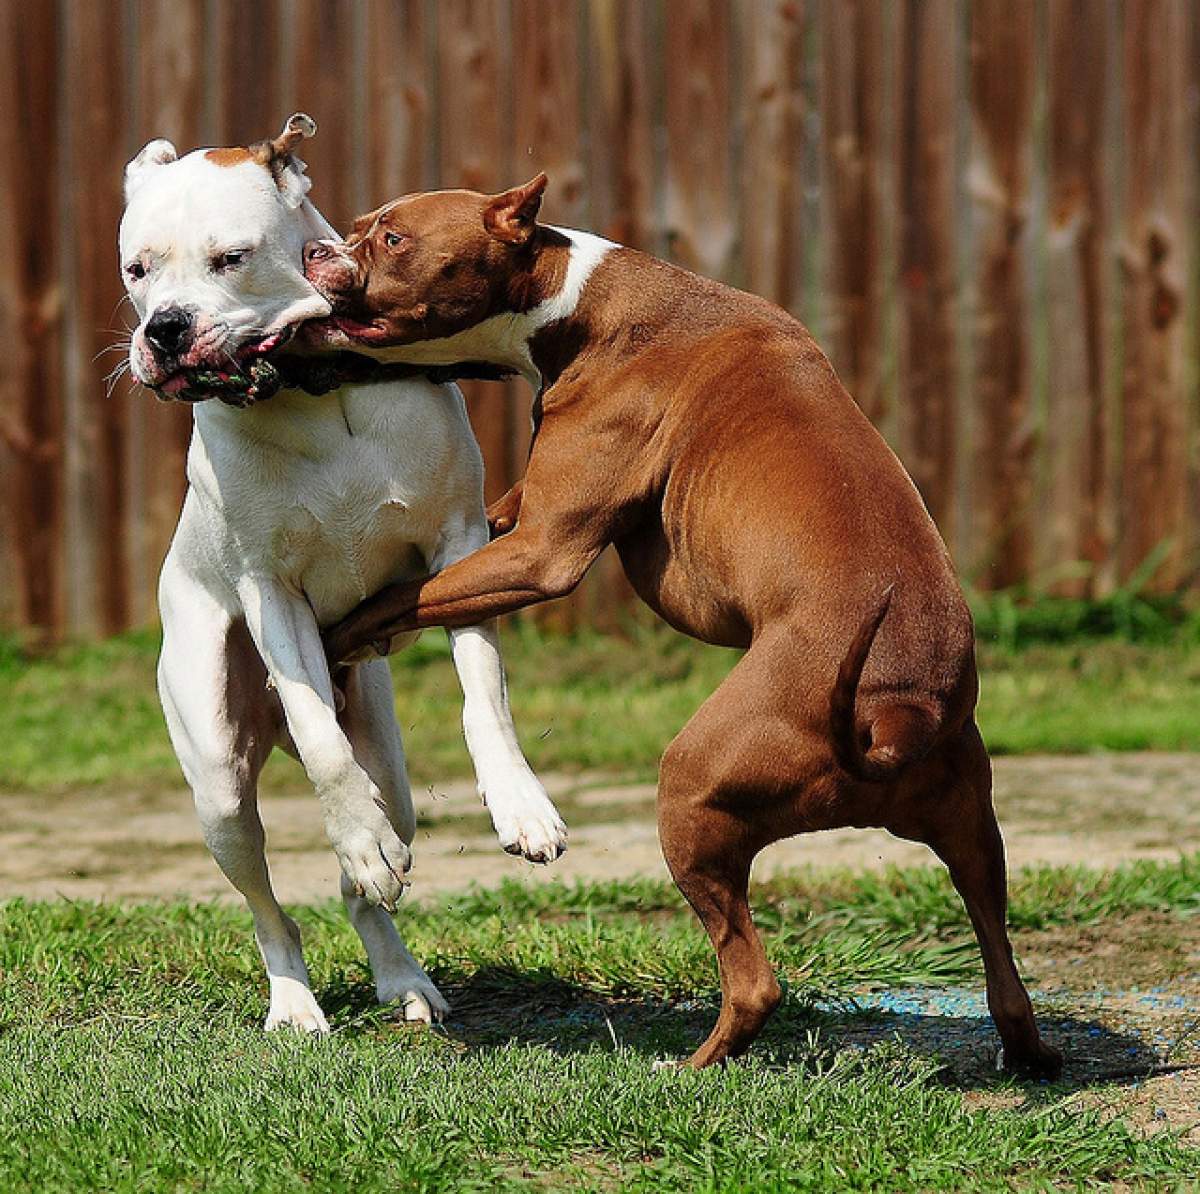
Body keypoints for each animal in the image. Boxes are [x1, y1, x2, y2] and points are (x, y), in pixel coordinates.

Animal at [118, 117, 566, 1036]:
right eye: (136, 270)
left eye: (231, 258)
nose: (166, 329)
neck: (315, 388)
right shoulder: (271, 592)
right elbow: (320, 739)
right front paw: (354, 830)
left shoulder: (460, 547)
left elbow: (485, 695)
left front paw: (520, 804)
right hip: (218, 786)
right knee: (270, 907)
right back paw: (295, 997)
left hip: (390, 768)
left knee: (368, 887)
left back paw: (403, 976)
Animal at [300, 177, 1060, 1084]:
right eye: (356, 227)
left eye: (393, 239)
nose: (315, 252)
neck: (574, 299)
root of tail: (891, 722)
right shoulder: (514, 519)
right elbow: (426, 581)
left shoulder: (541, 551)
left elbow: (405, 596)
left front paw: (338, 635)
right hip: (973, 831)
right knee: (1003, 969)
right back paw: (1028, 1054)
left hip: (691, 795)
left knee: (754, 979)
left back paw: (691, 1066)